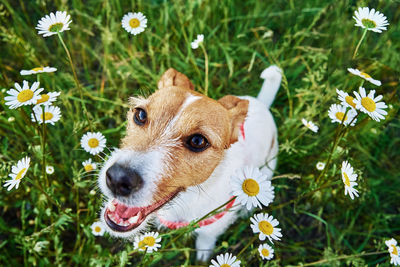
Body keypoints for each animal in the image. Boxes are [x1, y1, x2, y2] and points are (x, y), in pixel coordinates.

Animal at [98, 65, 282, 262]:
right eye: (140, 114)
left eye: (198, 141)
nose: (117, 179)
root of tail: (261, 104)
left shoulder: (214, 223)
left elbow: (206, 238)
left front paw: (203, 254)